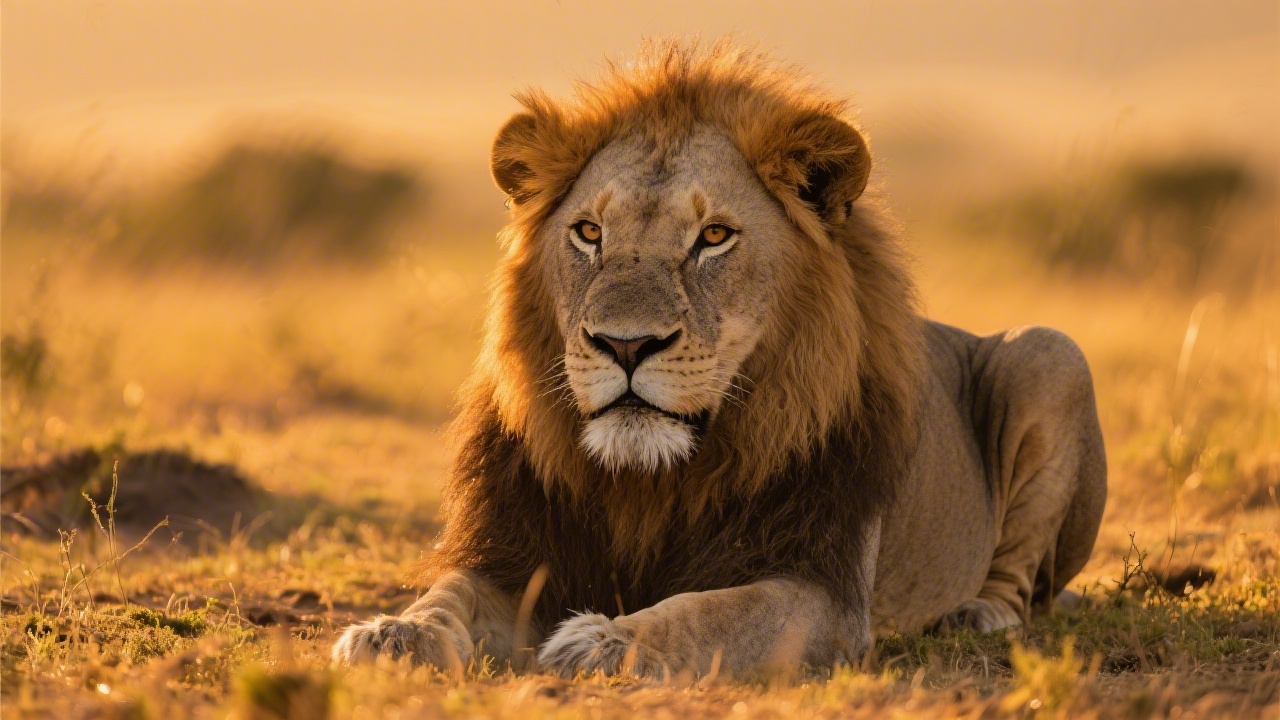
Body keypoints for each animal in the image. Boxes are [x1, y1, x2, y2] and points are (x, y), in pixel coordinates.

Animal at [331, 39, 1107, 679]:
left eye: (713, 237)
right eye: (589, 233)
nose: (625, 344)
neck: (650, 480)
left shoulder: (820, 588)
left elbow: (708, 613)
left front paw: (605, 640)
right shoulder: (518, 556)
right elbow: (449, 595)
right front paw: (393, 633)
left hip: (1050, 354)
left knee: (1022, 582)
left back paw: (976, 615)